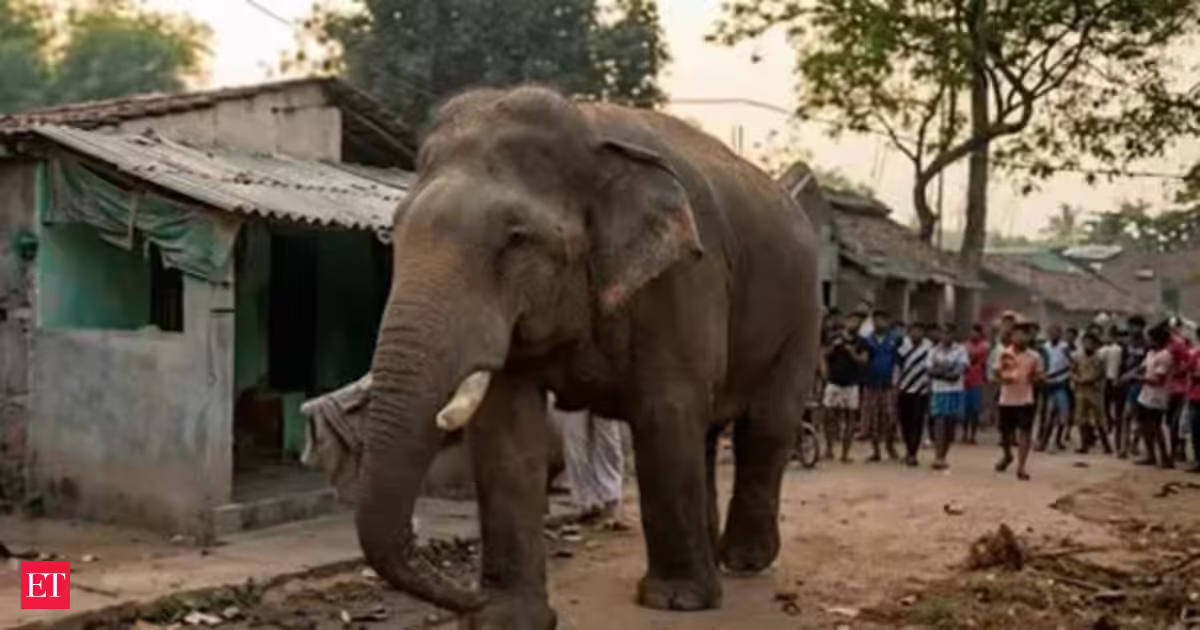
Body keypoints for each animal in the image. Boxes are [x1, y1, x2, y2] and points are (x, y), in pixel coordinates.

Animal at [358, 85, 820, 629]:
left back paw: (744, 563)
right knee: (708, 434)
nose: (469, 596)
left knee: (766, 426)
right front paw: (507, 618)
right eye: (395, 231)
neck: (588, 130)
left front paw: (676, 602)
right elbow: (504, 430)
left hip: (802, 314)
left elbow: (666, 412)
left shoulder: (685, 278)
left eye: (517, 238)